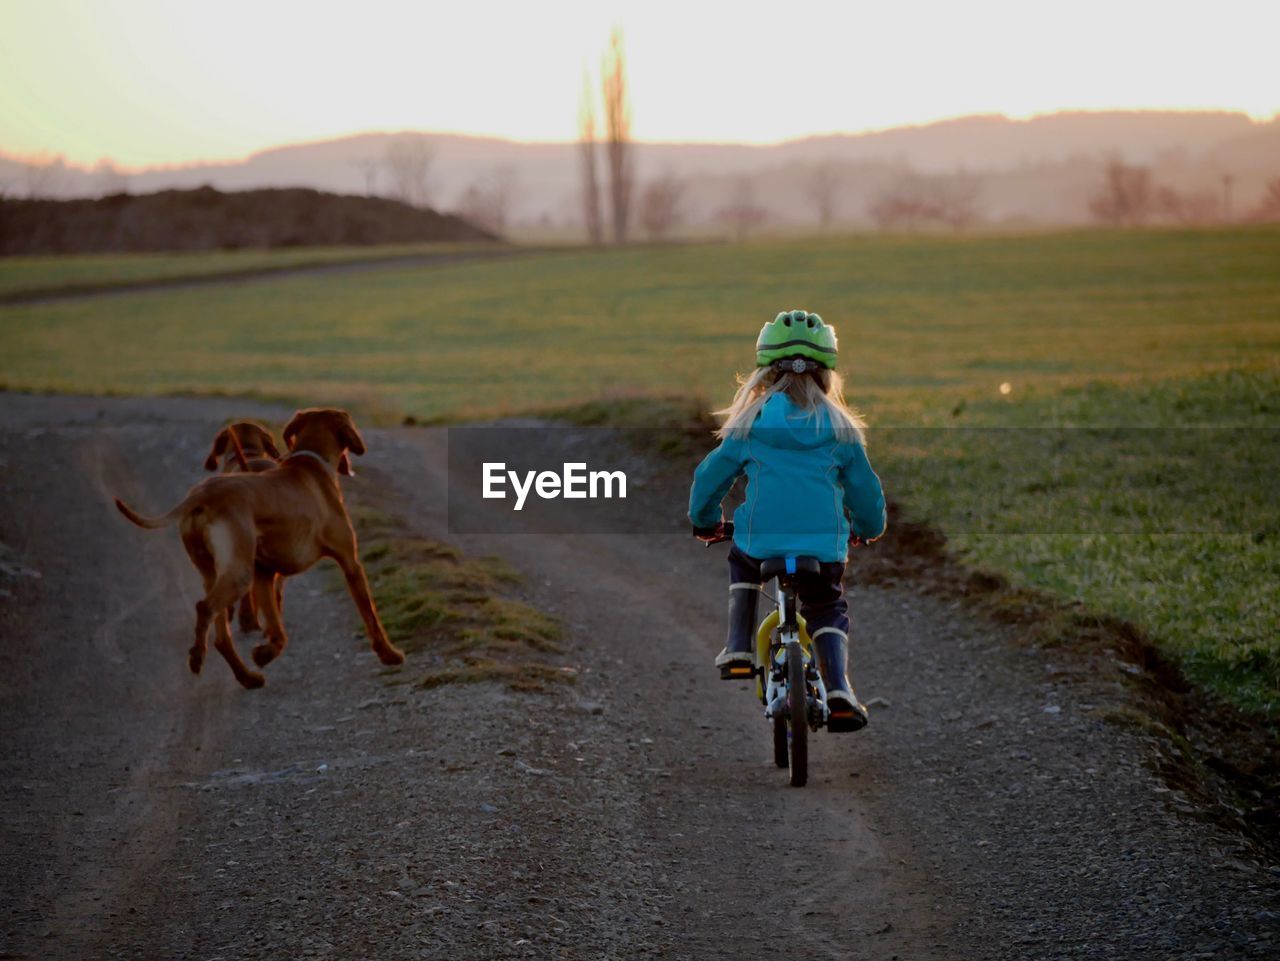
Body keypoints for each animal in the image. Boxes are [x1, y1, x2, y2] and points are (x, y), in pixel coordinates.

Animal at [117, 409, 404, 685]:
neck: (311, 464)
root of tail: (202, 495)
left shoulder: (265, 574)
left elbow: (278, 632)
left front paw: (265, 653)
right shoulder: (350, 562)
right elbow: (370, 615)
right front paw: (389, 654)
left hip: (215, 572)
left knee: (221, 634)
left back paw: (247, 677)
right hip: (240, 573)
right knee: (204, 608)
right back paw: (198, 657)